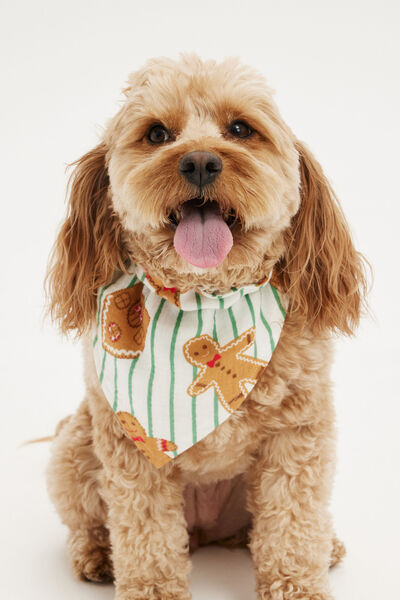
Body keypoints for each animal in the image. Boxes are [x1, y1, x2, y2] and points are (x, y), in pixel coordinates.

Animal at [45, 56, 368, 600]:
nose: (199, 162)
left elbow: (293, 524)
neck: (207, 299)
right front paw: (152, 589)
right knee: (90, 523)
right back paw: (98, 555)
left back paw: (328, 548)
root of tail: (206, 530)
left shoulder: (298, 437)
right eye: (157, 134)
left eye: (240, 129)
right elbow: (146, 533)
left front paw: (298, 583)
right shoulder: (131, 451)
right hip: (75, 446)